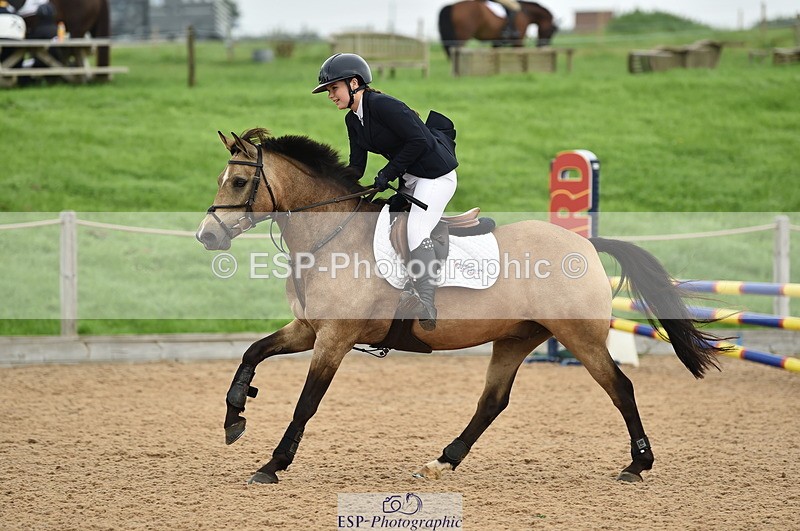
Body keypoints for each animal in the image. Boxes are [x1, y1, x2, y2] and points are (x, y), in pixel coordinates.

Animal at [196, 128, 725, 485]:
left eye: (238, 182)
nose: (207, 236)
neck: (331, 235)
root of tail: (586, 245)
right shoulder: (308, 329)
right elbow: (252, 353)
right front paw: (234, 416)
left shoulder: (334, 338)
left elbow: (307, 401)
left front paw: (273, 463)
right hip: (516, 337)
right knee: (493, 401)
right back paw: (442, 460)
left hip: (579, 336)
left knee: (620, 388)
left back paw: (638, 463)